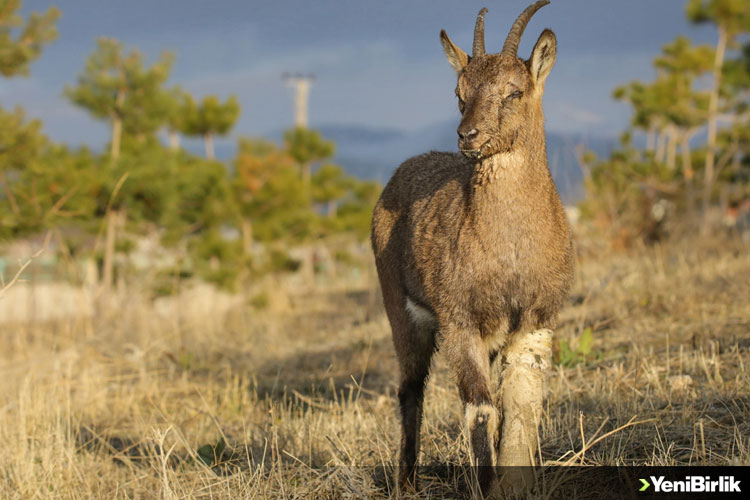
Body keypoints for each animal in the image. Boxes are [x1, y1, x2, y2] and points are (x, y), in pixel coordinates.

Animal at [372, 0, 576, 492]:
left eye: (514, 92)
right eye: (459, 92)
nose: (469, 136)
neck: (511, 250)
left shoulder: (535, 319)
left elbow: (521, 403)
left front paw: (517, 484)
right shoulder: (459, 320)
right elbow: (480, 410)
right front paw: (488, 487)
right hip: (401, 310)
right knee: (411, 389)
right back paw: (406, 481)